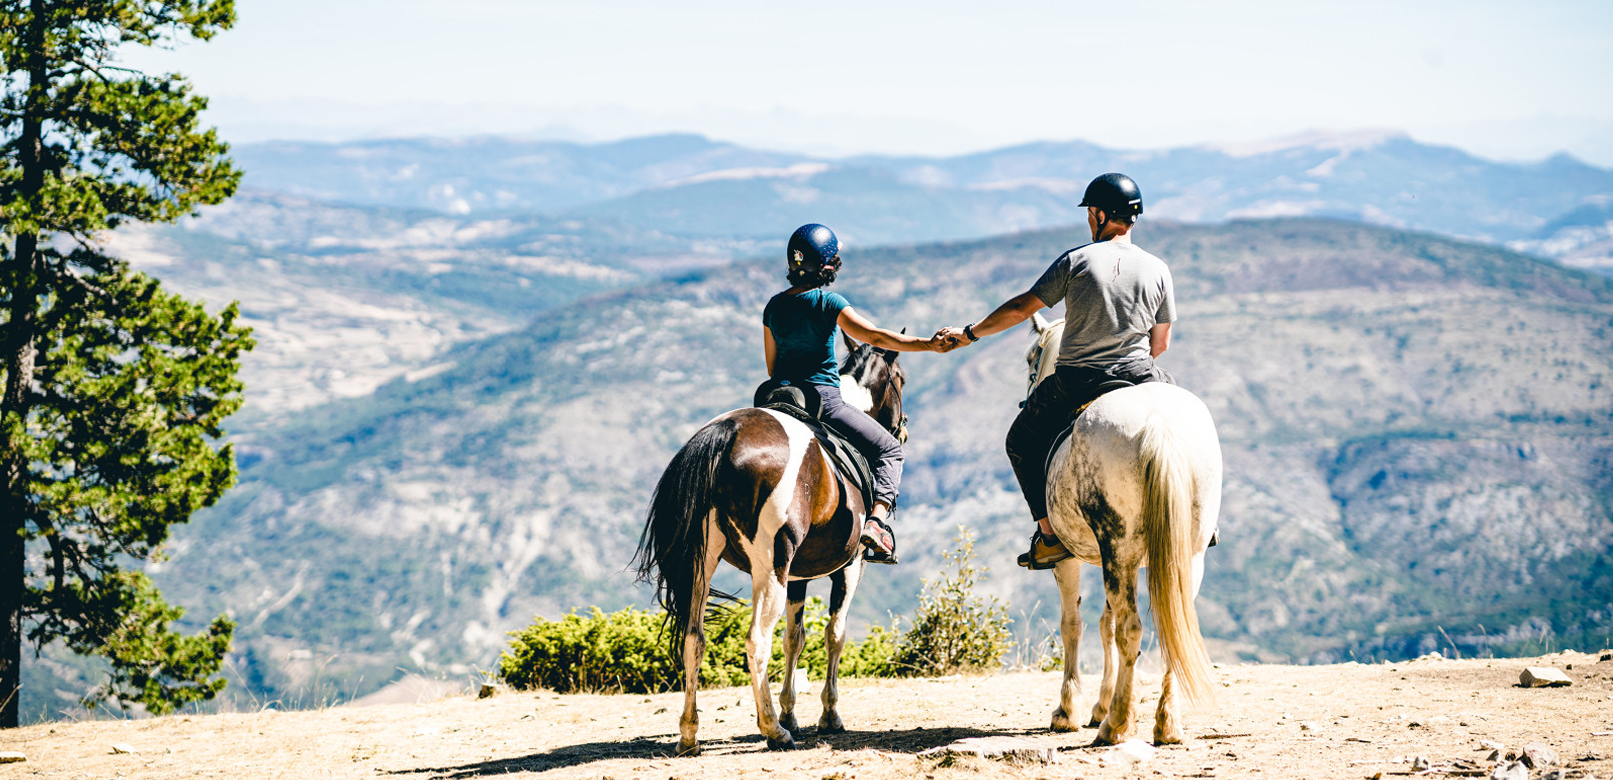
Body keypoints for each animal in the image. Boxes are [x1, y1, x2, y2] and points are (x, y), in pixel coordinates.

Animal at [632, 335, 909, 754]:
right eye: (902, 380)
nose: (902, 431)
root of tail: (725, 434)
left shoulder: (798, 575)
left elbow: (794, 638)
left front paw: (791, 710)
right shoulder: (850, 566)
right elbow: (835, 634)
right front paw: (827, 715)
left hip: (702, 563)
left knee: (694, 638)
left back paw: (690, 734)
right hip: (771, 567)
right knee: (756, 640)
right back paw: (773, 731)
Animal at [1032, 311, 1219, 744]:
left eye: (1032, 358)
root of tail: (1158, 423)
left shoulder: (1068, 558)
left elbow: (1074, 624)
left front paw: (1068, 710)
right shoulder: (1121, 560)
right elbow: (1106, 624)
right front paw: (1100, 702)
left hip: (1116, 551)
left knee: (1131, 629)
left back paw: (1115, 725)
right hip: (1183, 554)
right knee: (1172, 626)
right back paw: (1165, 723)